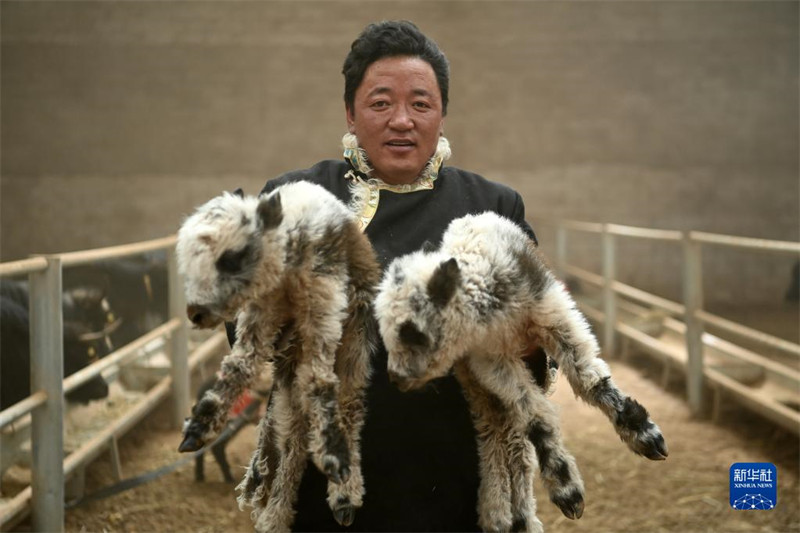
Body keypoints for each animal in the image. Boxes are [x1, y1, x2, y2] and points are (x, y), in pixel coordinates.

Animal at [174, 181, 378, 528]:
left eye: (232, 257)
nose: (195, 313)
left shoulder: (324, 306)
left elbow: (320, 381)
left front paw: (333, 457)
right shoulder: (261, 314)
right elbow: (238, 366)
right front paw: (198, 428)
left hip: (354, 346)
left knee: (348, 408)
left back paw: (343, 493)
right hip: (289, 389)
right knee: (292, 447)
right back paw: (275, 516)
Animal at [376, 212, 668, 532]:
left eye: (411, 332)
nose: (396, 378)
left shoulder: (552, 312)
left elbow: (589, 380)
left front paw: (644, 434)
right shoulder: (491, 360)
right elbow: (536, 418)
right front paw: (566, 489)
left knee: (508, 435)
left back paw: (514, 517)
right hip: (480, 388)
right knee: (500, 435)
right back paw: (505, 515)